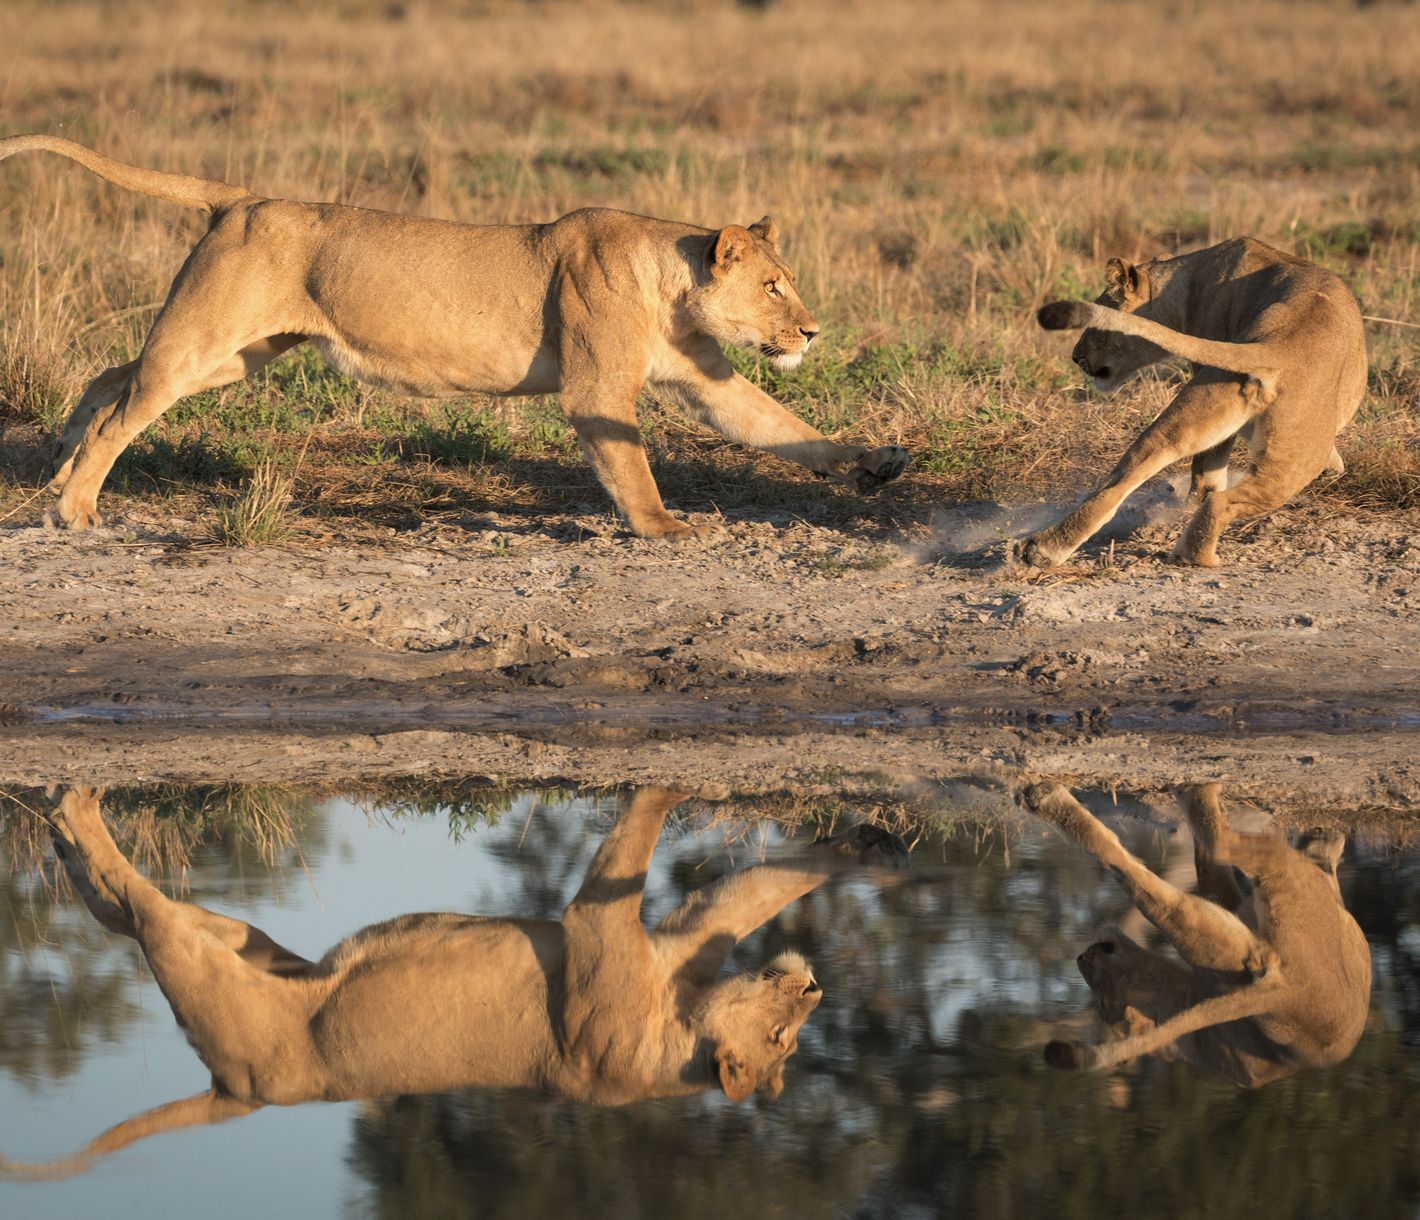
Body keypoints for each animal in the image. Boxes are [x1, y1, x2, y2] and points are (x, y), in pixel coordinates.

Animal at [0, 134, 909, 538]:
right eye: (774, 285)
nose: (813, 330)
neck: (671, 284)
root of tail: (241, 197)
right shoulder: (595, 388)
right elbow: (631, 461)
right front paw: (662, 528)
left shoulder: (704, 379)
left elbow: (784, 429)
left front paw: (875, 463)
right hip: (206, 339)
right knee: (126, 409)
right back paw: (75, 506)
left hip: (234, 356)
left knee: (110, 378)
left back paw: (60, 466)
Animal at [0, 785, 908, 1179]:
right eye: (786, 1035)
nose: (814, 992)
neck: (683, 1033)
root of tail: (236, 1094)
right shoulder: (675, 942)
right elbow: (762, 888)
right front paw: (868, 851)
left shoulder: (603, 935)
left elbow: (654, 837)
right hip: (244, 943)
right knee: (130, 911)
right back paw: (67, 826)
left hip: (219, 975)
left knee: (137, 907)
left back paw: (73, 815)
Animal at [1021, 781, 1371, 1086]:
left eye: (1105, 1000)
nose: (1082, 957)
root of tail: (1289, 990)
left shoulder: (1232, 912)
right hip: (1282, 874)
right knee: (1212, 855)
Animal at [1023, 237, 1366, 567]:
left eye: (1098, 329)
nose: (1075, 356)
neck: (1185, 282)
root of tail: (1274, 344)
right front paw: (1334, 466)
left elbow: (1206, 471)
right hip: (1294, 462)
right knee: (1221, 500)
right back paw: (1197, 555)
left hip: (1197, 409)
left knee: (1124, 478)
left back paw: (1042, 550)